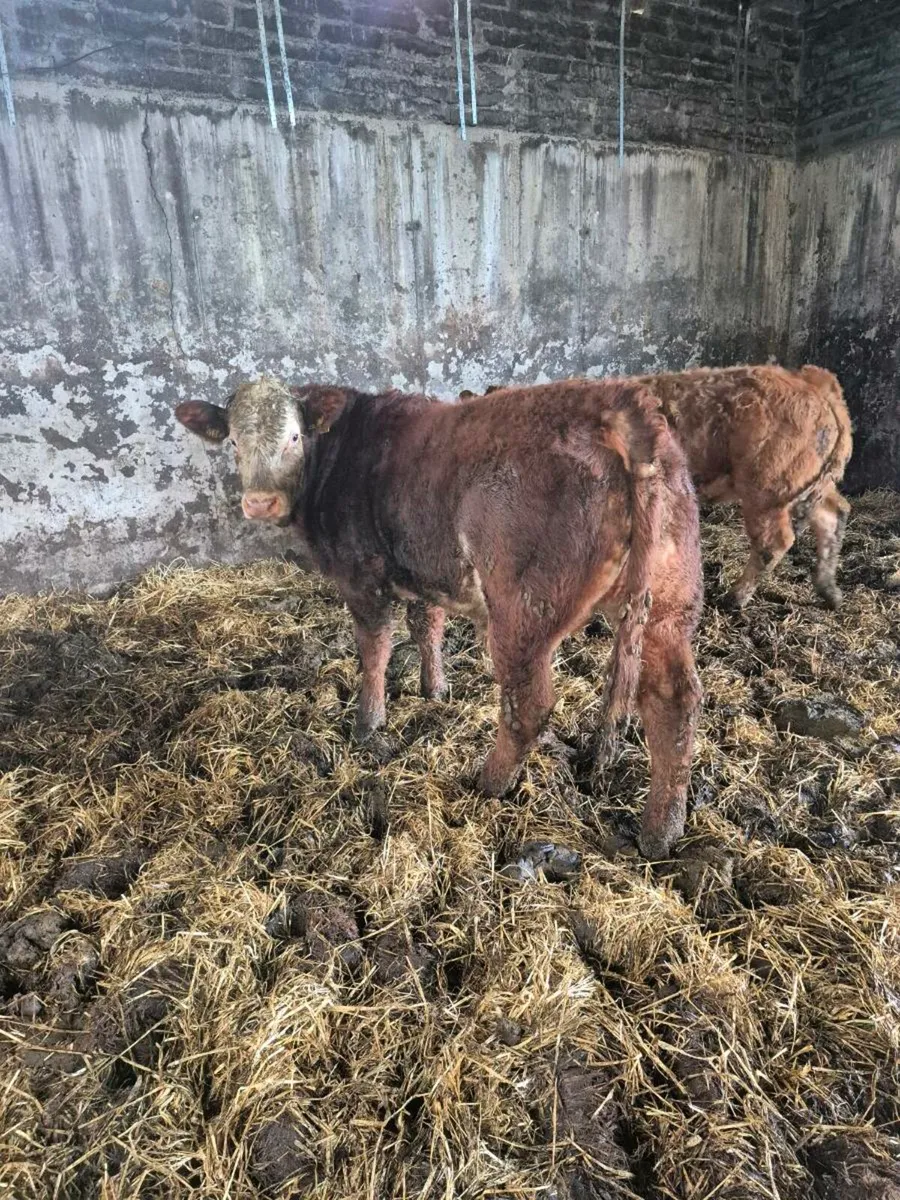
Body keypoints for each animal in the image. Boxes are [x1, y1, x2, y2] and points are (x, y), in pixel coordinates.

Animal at [175, 377, 703, 859]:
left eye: (293, 437)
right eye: (234, 441)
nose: (260, 502)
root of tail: (618, 401)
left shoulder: (361, 578)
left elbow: (375, 650)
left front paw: (369, 722)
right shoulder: (423, 571)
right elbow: (426, 627)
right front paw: (435, 691)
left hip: (522, 612)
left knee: (528, 706)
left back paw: (487, 782)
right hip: (667, 608)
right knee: (673, 702)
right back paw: (661, 831)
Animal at [464, 366, 853, 610]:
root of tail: (813, 382)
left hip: (768, 490)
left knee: (775, 542)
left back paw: (735, 598)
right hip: (808, 487)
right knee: (834, 515)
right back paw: (829, 591)